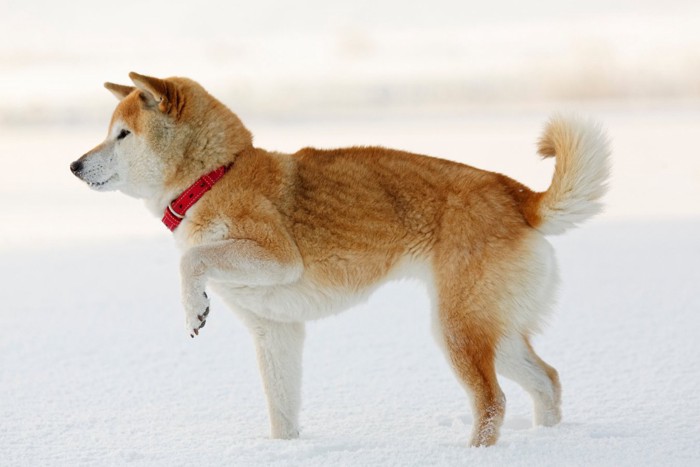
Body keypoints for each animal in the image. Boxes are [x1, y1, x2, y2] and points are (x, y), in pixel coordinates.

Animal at [68, 72, 608, 446]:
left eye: (122, 135)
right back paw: (548, 440)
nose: (73, 165)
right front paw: (283, 451)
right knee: (548, 380)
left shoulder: (278, 258)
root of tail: (518, 196)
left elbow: (191, 260)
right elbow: (282, 410)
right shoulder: (275, 331)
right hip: (492, 329)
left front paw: (193, 308)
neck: (214, 177)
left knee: (494, 401)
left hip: (458, 328)